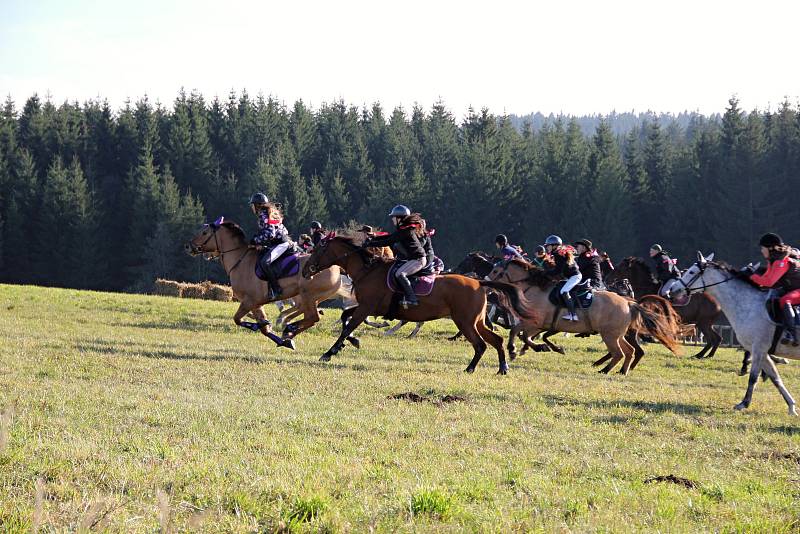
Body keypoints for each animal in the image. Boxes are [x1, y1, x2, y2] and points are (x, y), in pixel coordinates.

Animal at [189, 220, 352, 346]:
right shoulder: (256, 304)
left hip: (308, 295)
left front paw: (261, 324)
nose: (188, 246)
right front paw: (280, 339)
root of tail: (336, 268)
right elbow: (263, 328)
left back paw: (289, 327)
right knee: (309, 315)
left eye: (204, 233)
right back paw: (288, 330)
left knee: (312, 317)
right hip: (313, 298)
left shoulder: (249, 301)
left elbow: (238, 319)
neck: (240, 260)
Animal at [300, 234, 532, 376]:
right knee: (496, 339)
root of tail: (478, 282)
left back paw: (470, 368)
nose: (305, 270)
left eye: (319, 249)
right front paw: (353, 342)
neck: (367, 270)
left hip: (465, 322)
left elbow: (348, 325)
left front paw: (330, 352)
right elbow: (345, 318)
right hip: (475, 322)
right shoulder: (367, 307)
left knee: (480, 344)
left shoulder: (367, 307)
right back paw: (503, 367)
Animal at [484, 260, 680, 376]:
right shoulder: (539, 325)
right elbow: (521, 333)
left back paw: (604, 369)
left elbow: (520, 333)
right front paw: (527, 349)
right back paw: (621, 371)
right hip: (616, 335)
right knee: (629, 351)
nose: (485, 284)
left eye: (496, 271)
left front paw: (520, 349)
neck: (536, 288)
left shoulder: (535, 323)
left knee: (619, 353)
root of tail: (628, 303)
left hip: (609, 335)